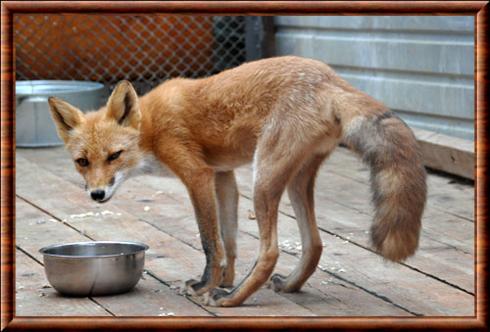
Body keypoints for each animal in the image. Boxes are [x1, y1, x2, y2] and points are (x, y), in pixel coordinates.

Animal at [47, 55, 426, 308]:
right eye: (82, 162)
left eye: (114, 156)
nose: (97, 194)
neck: (151, 127)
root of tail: (331, 79)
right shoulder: (222, 176)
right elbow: (227, 240)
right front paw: (224, 279)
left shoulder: (197, 175)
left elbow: (209, 242)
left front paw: (207, 287)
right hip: (295, 179)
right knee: (315, 244)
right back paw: (285, 285)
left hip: (264, 175)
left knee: (270, 251)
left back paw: (232, 300)